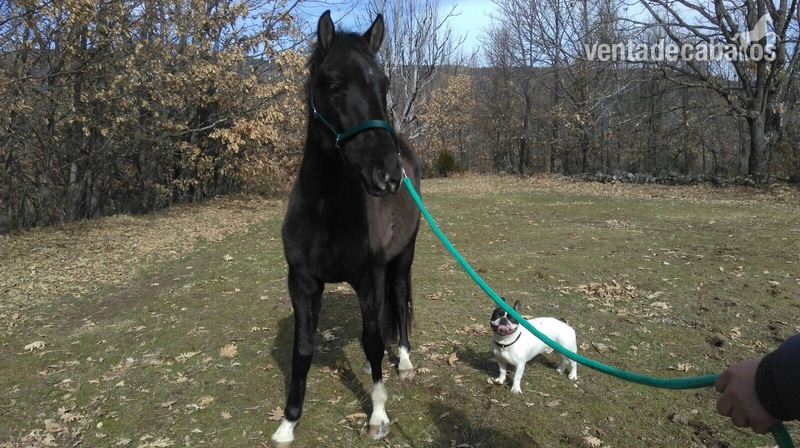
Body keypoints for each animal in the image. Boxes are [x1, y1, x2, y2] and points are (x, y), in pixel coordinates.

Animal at [270, 10, 422, 447]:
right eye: (335, 85)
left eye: (384, 84)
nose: (388, 175)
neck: (327, 210)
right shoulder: (302, 282)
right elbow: (303, 349)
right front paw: (288, 422)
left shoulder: (367, 277)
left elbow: (371, 340)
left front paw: (378, 414)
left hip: (403, 258)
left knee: (398, 301)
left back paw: (404, 361)